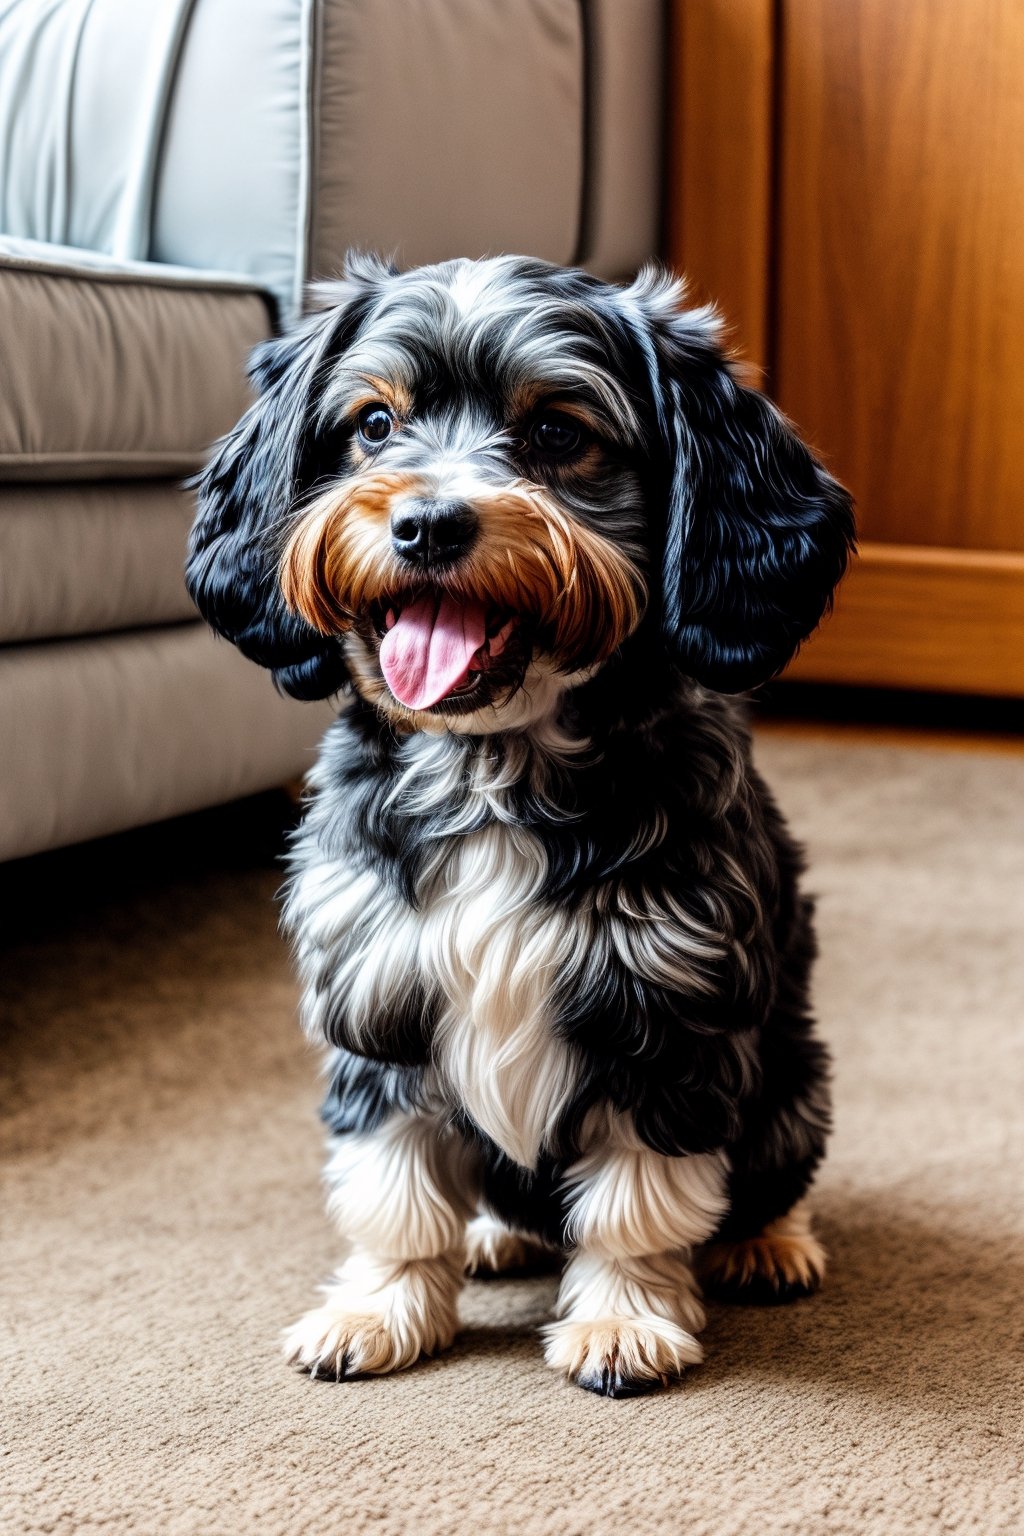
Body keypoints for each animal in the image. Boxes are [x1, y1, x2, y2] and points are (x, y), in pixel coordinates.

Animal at [186, 254, 859, 1406]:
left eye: (556, 430)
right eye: (374, 424)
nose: (426, 524)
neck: (494, 766)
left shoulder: (664, 1016)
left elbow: (637, 1204)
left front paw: (625, 1320)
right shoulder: (381, 1004)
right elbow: (394, 1192)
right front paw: (380, 1308)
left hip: (791, 1078)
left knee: (768, 1174)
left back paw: (766, 1244)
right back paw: (497, 1231)